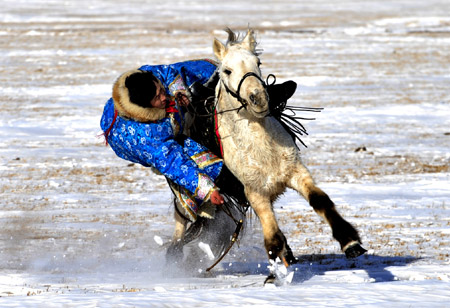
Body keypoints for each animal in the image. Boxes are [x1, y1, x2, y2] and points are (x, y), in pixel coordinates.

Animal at [167, 27, 368, 274]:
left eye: (258, 62)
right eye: (227, 70)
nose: (259, 99)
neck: (261, 149)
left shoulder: (297, 172)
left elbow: (320, 200)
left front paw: (350, 242)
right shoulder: (255, 193)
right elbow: (272, 237)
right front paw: (277, 272)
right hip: (188, 199)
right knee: (182, 225)